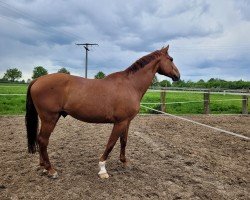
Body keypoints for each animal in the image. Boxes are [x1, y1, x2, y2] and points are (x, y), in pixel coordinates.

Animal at [25, 45, 180, 178]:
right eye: (171, 59)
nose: (178, 76)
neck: (130, 85)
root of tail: (37, 80)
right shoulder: (120, 122)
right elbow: (111, 143)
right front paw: (102, 169)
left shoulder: (127, 122)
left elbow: (124, 141)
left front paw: (124, 162)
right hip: (50, 118)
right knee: (43, 140)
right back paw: (51, 170)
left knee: (40, 139)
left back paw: (43, 166)